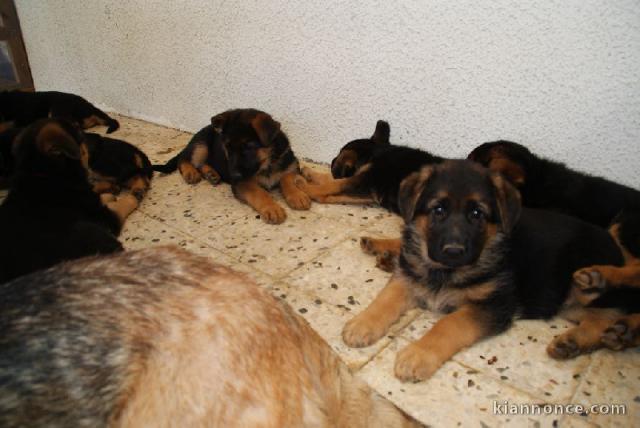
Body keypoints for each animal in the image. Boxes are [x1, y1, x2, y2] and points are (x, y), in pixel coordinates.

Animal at [0, 118, 139, 284]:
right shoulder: (107, 219)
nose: (99, 137)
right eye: (79, 132)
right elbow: (121, 205)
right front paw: (129, 197)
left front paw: (108, 195)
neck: (47, 177)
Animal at [156, 108, 316, 224]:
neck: (266, 164)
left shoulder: (291, 167)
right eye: (227, 147)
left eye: (248, 147)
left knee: (202, 163)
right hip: (201, 146)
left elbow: (287, 178)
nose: (233, 174)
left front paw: (297, 196)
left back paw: (211, 174)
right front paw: (272, 208)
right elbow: (259, 192)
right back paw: (191, 172)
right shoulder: (242, 183)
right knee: (183, 159)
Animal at [342, 160, 640, 382]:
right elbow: (386, 298)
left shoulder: (493, 306)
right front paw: (362, 323)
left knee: (611, 310)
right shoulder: (409, 277)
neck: (446, 272)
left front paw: (418, 355)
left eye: (477, 214)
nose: (453, 250)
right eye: (438, 210)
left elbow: (448, 324)